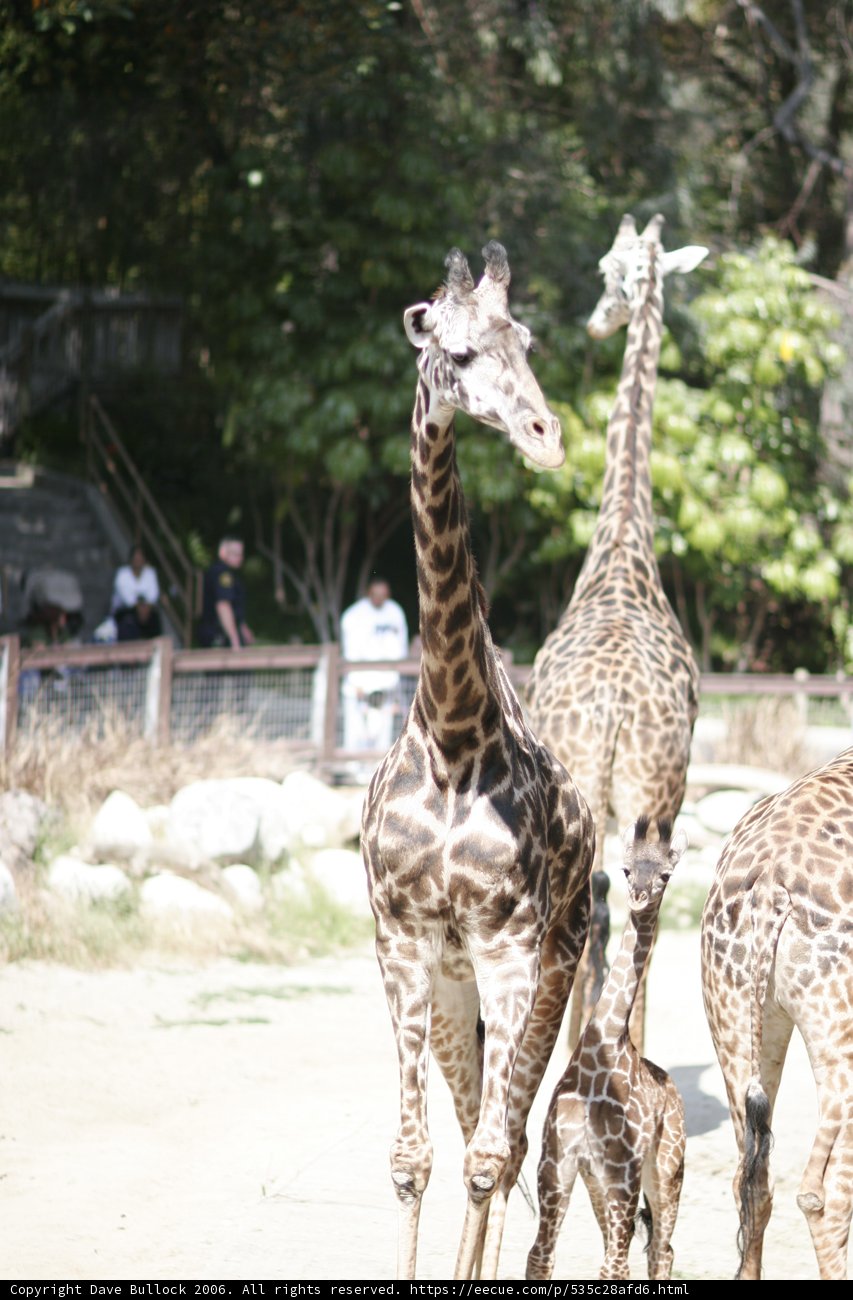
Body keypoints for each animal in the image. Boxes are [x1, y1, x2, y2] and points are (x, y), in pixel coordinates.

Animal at [526, 815, 688, 1281]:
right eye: (626, 870)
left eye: (665, 875)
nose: (638, 898)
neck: (603, 1052)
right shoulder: (557, 1166)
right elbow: (540, 1256)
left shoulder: (624, 1174)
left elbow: (615, 1265)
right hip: (598, 1183)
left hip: (666, 1169)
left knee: (661, 1250)